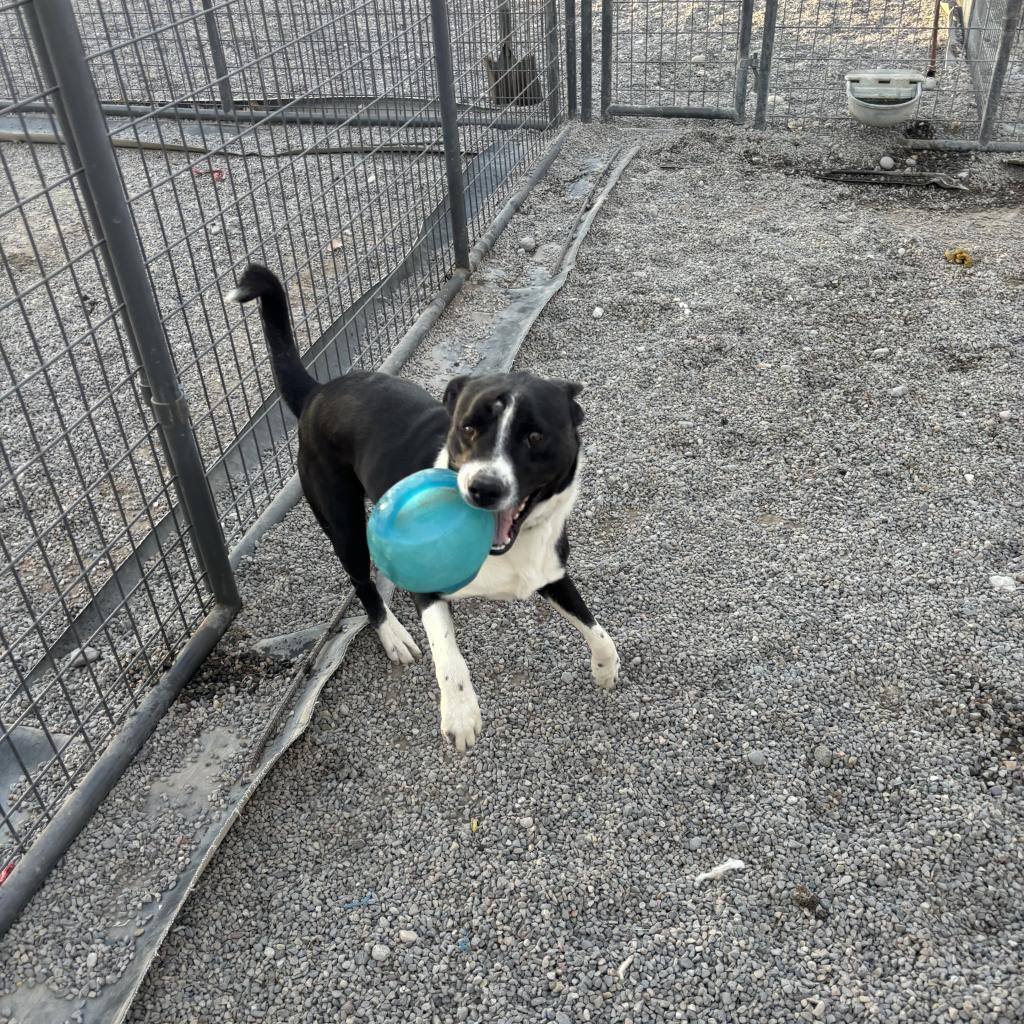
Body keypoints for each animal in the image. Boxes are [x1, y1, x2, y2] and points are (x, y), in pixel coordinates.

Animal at [231, 262, 614, 753]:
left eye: (534, 436)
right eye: (468, 428)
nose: (483, 488)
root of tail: (319, 391)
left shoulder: (549, 572)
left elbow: (597, 628)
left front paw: (605, 667)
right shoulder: (425, 587)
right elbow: (448, 655)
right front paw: (461, 713)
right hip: (343, 521)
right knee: (362, 581)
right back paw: (391, 634)